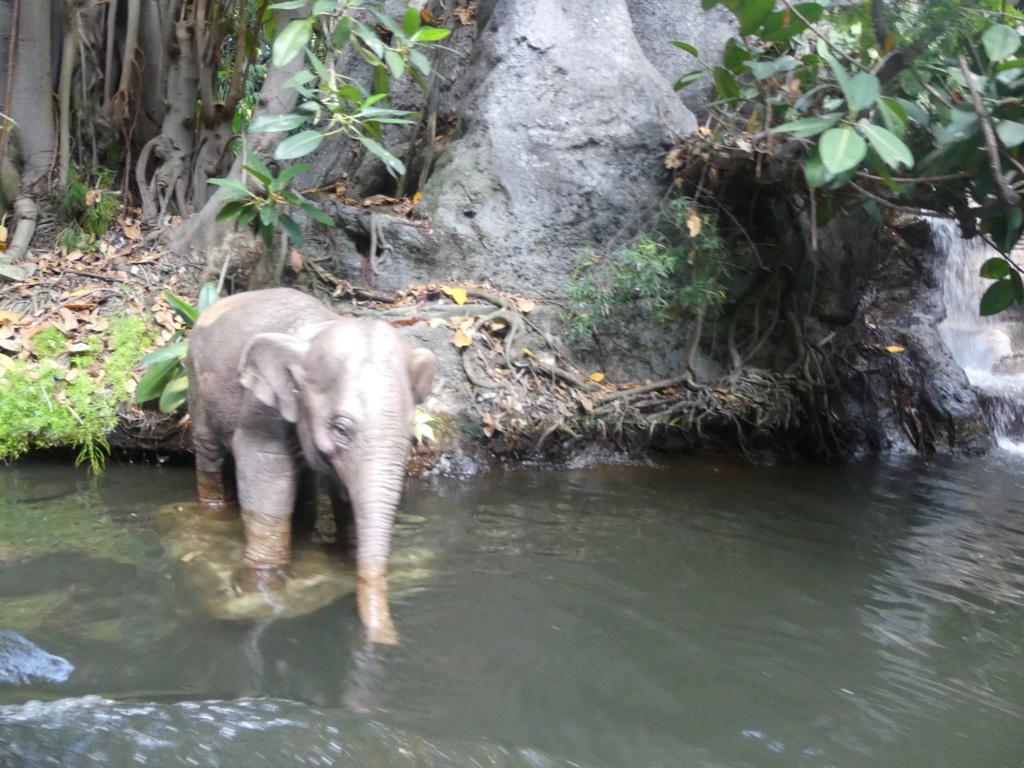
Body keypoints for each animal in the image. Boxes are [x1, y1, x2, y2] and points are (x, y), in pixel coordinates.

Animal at [186, 286, 434, 647]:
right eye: (341, 429)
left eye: (410, 433)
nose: (387, 640)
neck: (319, 329)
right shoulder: (260, 406)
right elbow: (264, 468)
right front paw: (262, 586)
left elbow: (341, 489)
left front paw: (348, 557)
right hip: (195, 378)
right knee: (209, 451)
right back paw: (215, 514)